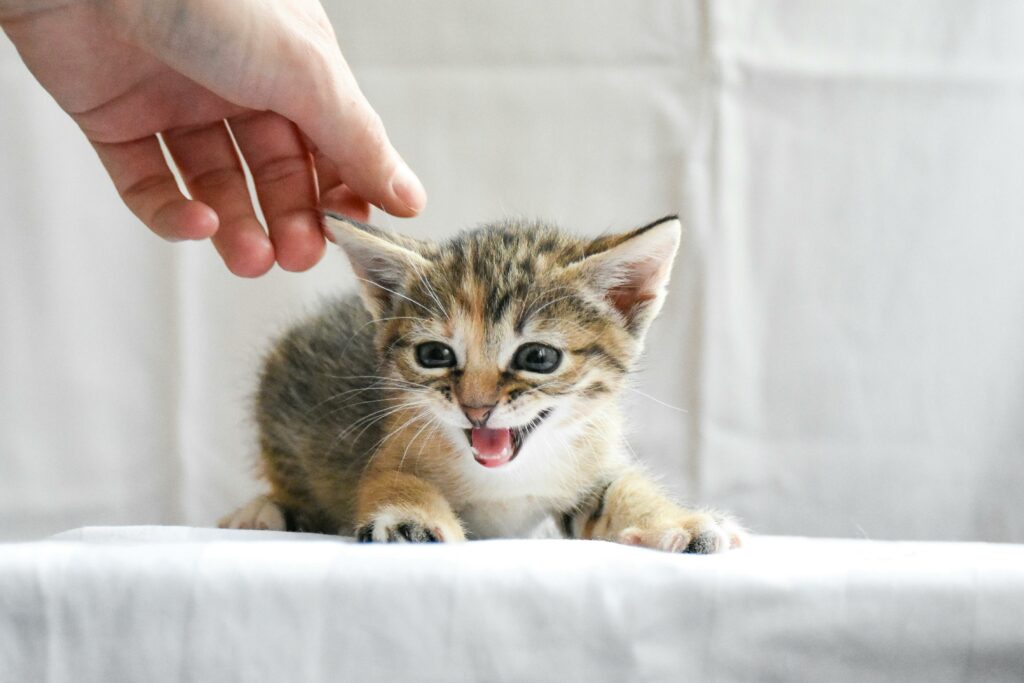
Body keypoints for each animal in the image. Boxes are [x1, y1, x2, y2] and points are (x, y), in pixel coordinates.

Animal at [220, 214, 745, 557]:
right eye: (434, 355)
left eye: (538, 358)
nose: (476, 408)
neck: (508, 480)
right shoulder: (393, 442)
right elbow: (391, 477)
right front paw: (411, 517)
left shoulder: (590, 462)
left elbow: (621, 487)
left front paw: (677, 520)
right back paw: (261, 512)